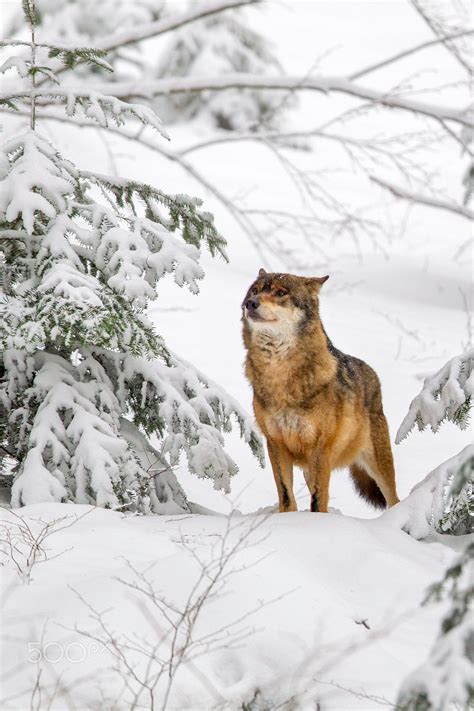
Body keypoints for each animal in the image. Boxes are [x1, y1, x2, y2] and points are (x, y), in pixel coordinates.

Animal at [241, 270, 400, 516]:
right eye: (255, 291)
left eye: (281, 293)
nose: (251, 303)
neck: (279, 376)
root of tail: (373, 374)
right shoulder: (275, 444)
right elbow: (286, 495)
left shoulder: (320, 447)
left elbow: (318, 501)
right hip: (309, 467)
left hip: (378, 465)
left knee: (395, 499)